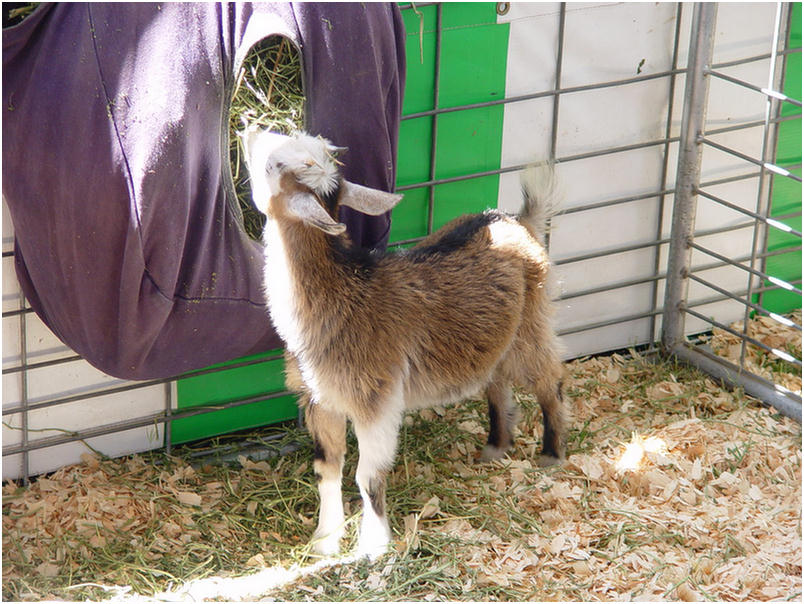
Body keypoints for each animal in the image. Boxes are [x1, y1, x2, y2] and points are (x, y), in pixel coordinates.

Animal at [242, 130, 568, 560]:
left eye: (274, 165)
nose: (249, 133)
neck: (341, 295)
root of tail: (518, 220)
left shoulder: (376, 402)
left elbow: (367, 476)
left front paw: (374, 547)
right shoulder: (320, 400)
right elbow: (327, 468)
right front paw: (325, 542)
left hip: (532, 324)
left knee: (550, 381)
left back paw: (551, 454)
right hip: (494, 340)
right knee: (497, 382)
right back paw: (496, 447)